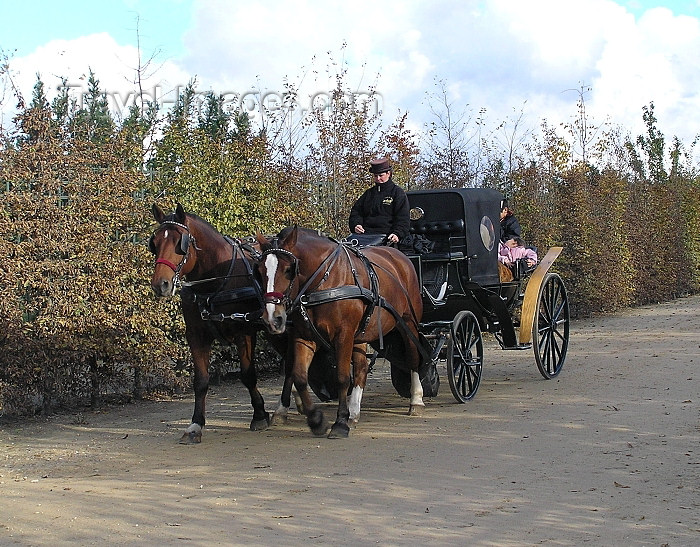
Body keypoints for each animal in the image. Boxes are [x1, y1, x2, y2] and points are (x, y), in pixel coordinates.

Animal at [150, 203, 296, 444]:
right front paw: (195, 425)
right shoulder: (196, 336)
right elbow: (200, 381)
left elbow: (248, 375)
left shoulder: (244, 332)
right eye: (155, 242)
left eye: (180, 242)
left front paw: (259, 414)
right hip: (275, 329)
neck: (215, 282)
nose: (160, 284)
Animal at [254, 225, 424, 438]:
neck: (324, 280)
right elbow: (299, 376)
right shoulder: (304, 337)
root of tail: (399, 256)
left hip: (408, 323)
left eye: (288, 270)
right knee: (361, 368)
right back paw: (354, 411)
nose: (272, 317)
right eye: (260, 271)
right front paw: (316, 420)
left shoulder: (344, 335)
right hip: (361, 334)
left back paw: (416, 399)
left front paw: (340, 422)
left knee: (413, 357)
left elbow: (342, 378)